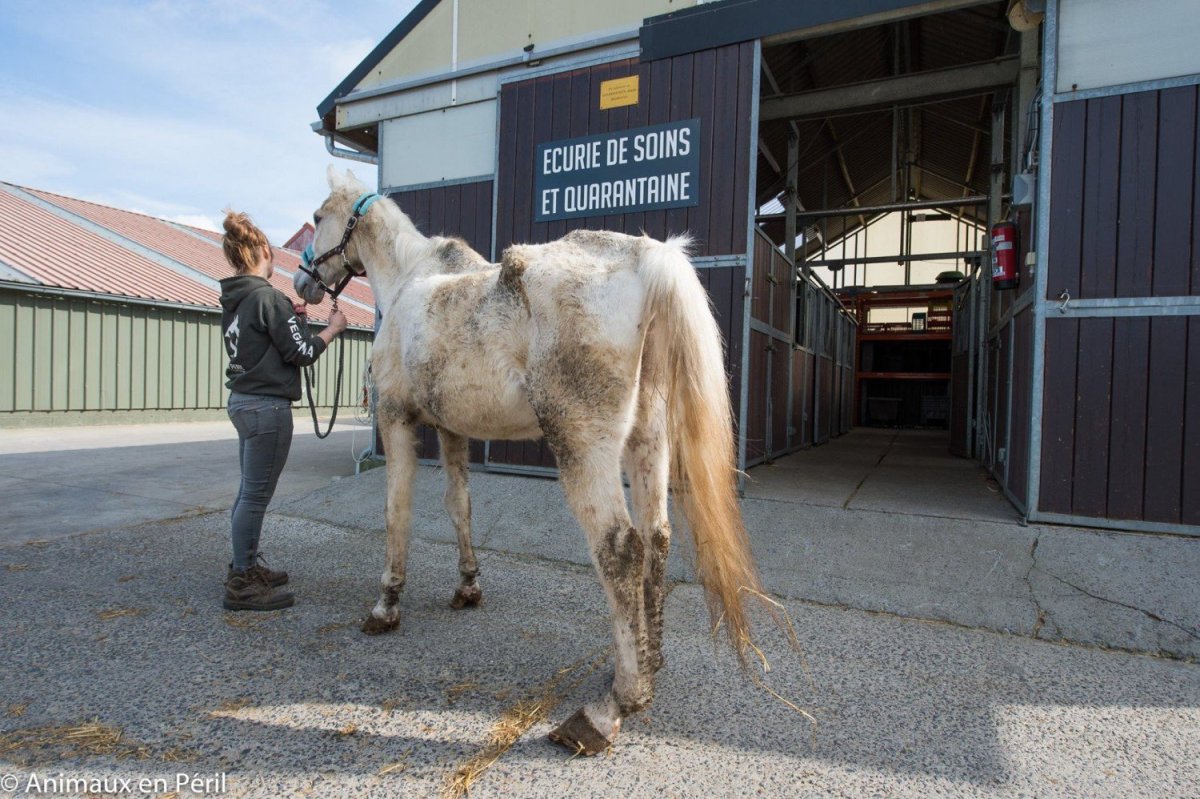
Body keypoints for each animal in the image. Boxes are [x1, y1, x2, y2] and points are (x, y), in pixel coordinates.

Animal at [296, 166, 766, 755]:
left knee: (621, 549)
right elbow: (459, 506)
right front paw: (467, 587)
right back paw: (650, 664)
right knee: (656, 537)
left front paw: (386, 606)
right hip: (647, 441)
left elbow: (396, 513)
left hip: (584, 448)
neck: (410, 278)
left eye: (318, 216)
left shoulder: (398, 421)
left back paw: (614, 706)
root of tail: (644, 258)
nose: (304, 282)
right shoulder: (453, 431)